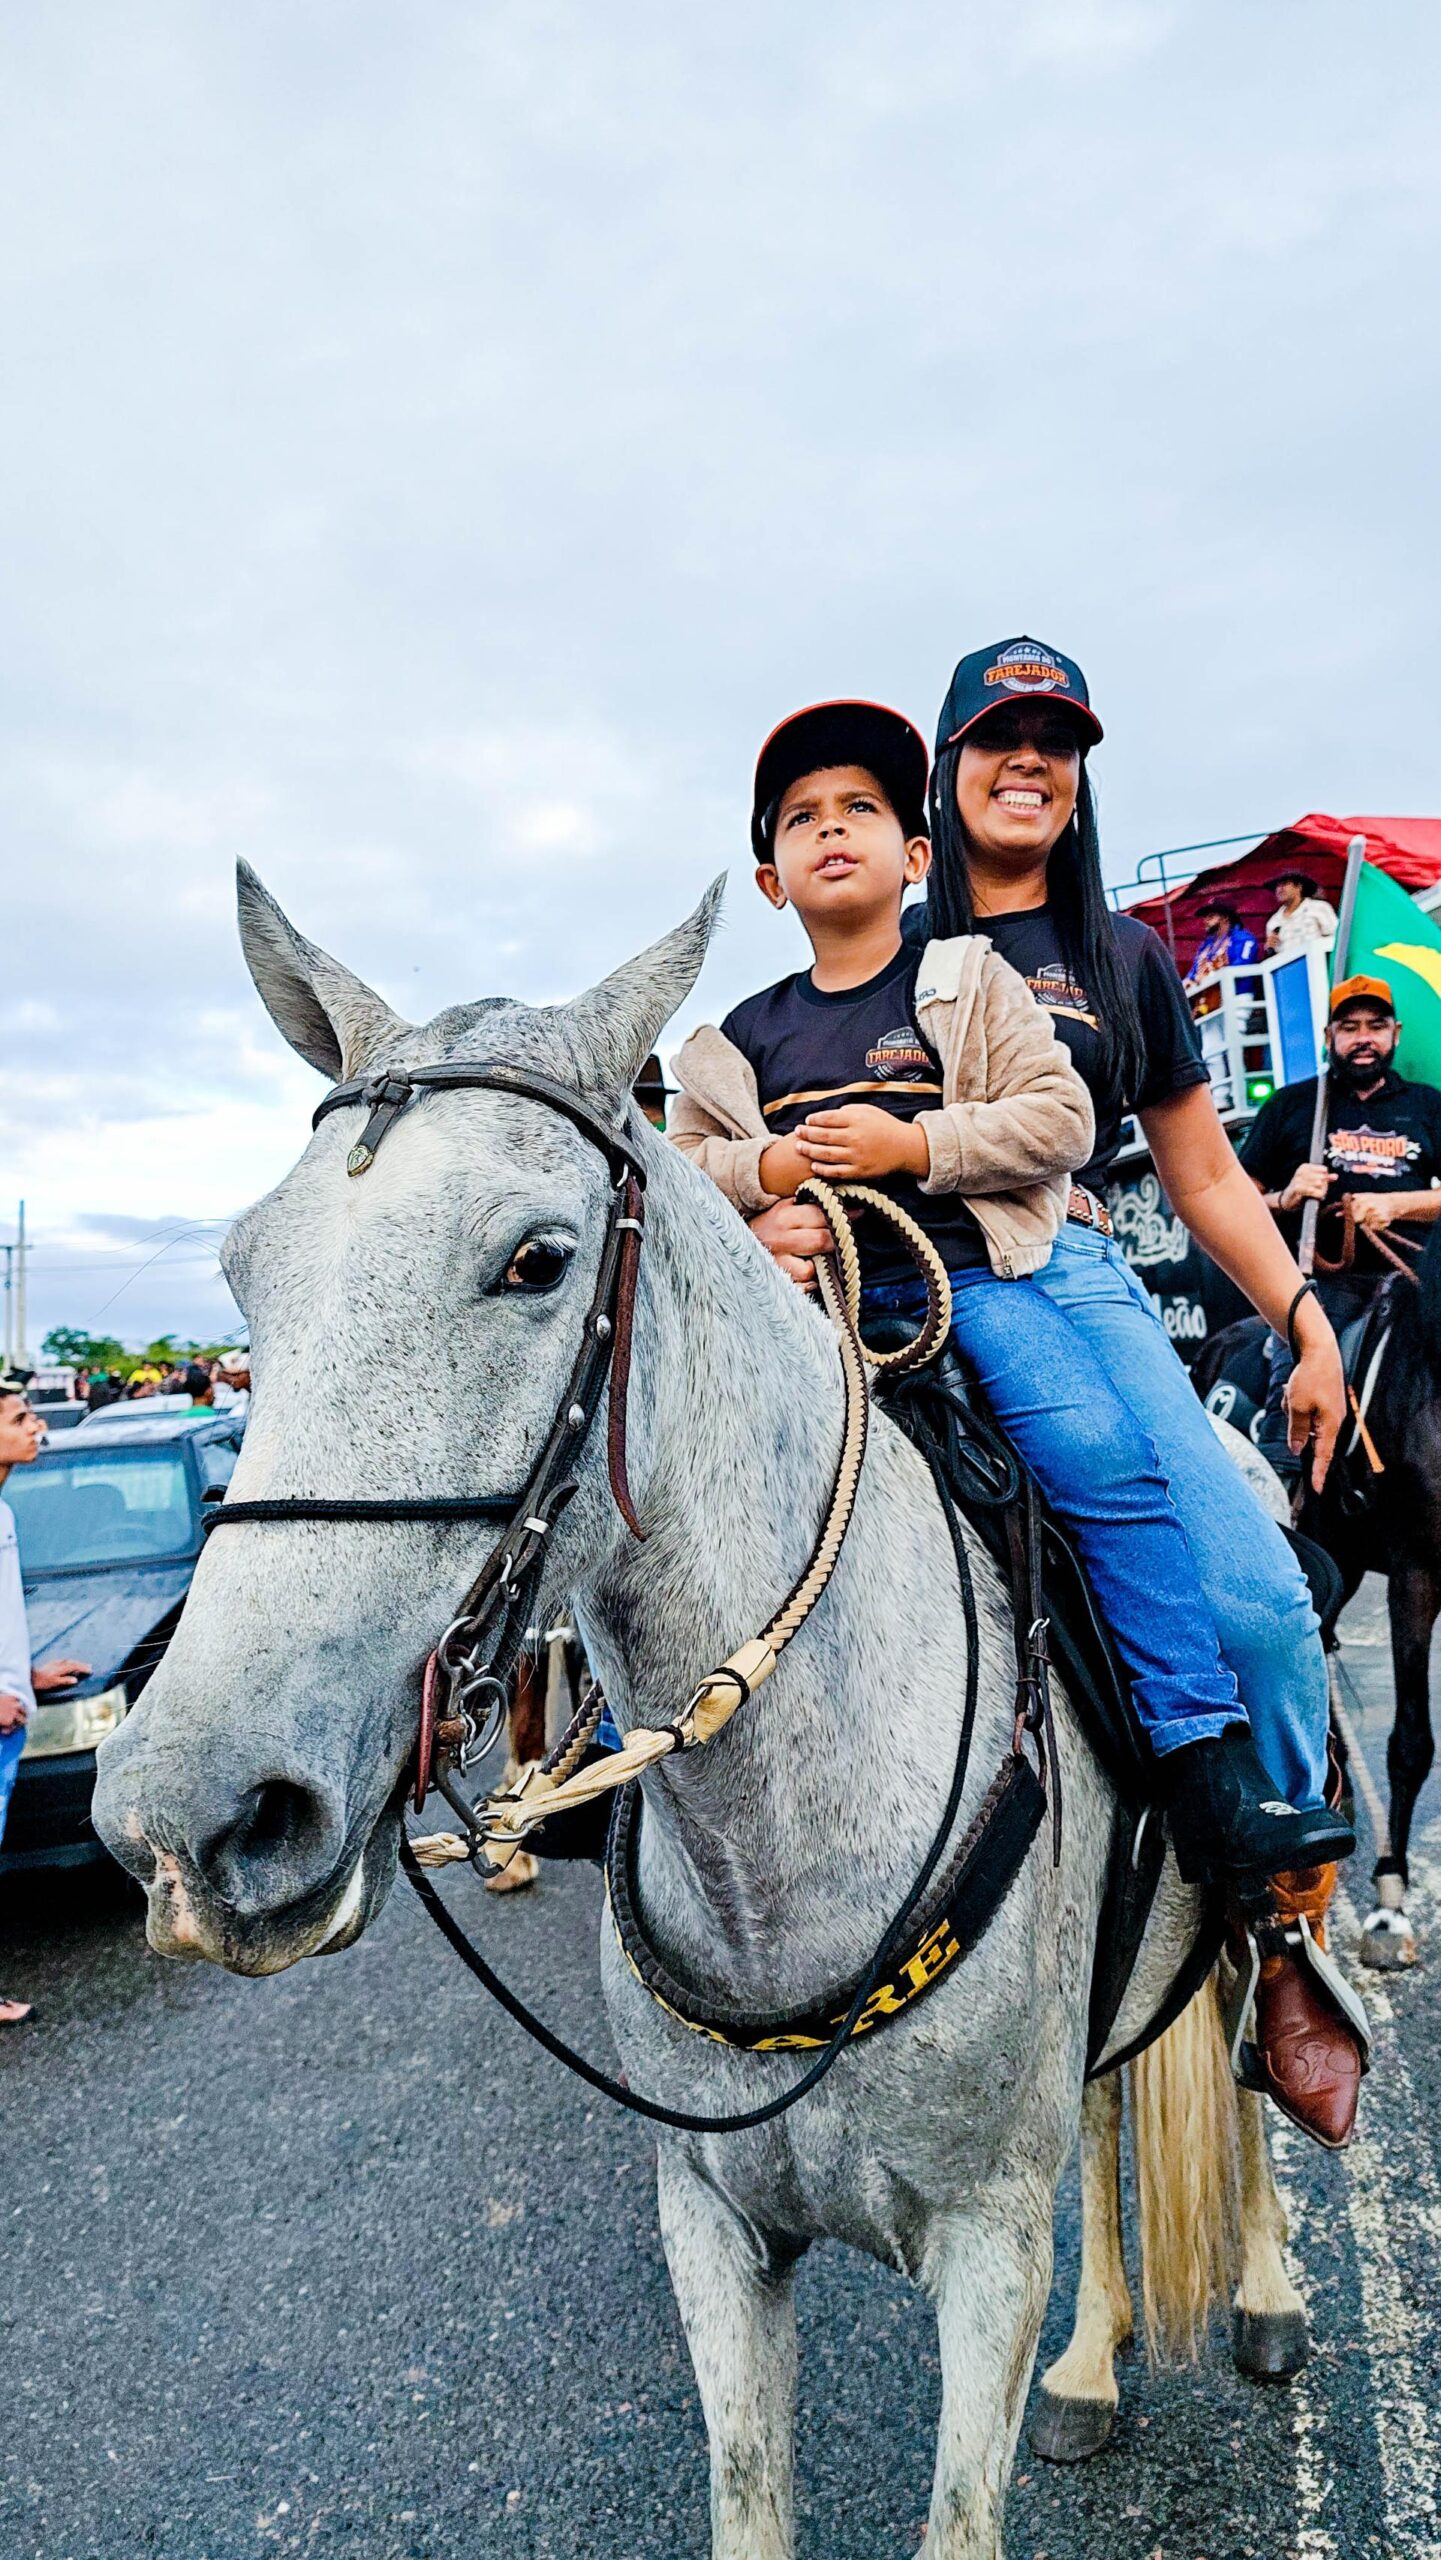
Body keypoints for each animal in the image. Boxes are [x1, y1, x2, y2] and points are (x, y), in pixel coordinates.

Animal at [93, 866, 1308, 2559]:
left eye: (537, 1260)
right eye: (241, 1270)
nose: (188, 1819)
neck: (779, 1840)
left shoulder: (987, 2250)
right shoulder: (715, 2229)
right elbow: (749, 2489)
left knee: (1250, 2062)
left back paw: (1262, 2289)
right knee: (1116, 2107)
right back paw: (1091, 2359)